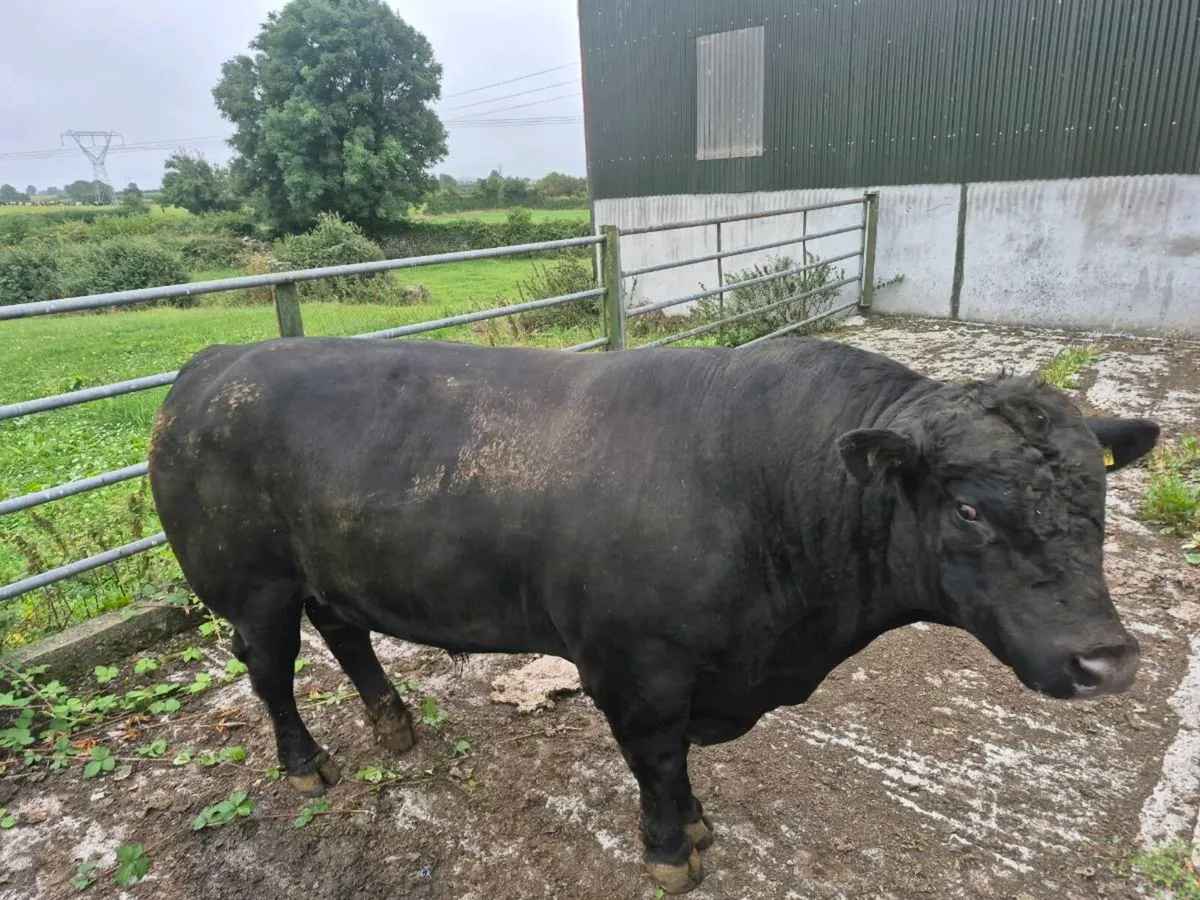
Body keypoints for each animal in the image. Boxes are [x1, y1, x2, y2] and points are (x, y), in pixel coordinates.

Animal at [147, 335, 1158, 894]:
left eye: (1099, 499)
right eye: (970, 509)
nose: (1105, 660)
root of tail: (216, 362)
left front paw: (697, 826)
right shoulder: (636, 671)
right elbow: (659, 764)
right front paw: (674, 849)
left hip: (331, 569)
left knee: (347, 632)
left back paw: (394, 725)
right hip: (252, 587)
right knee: (271, 669)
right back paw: (305, 765)